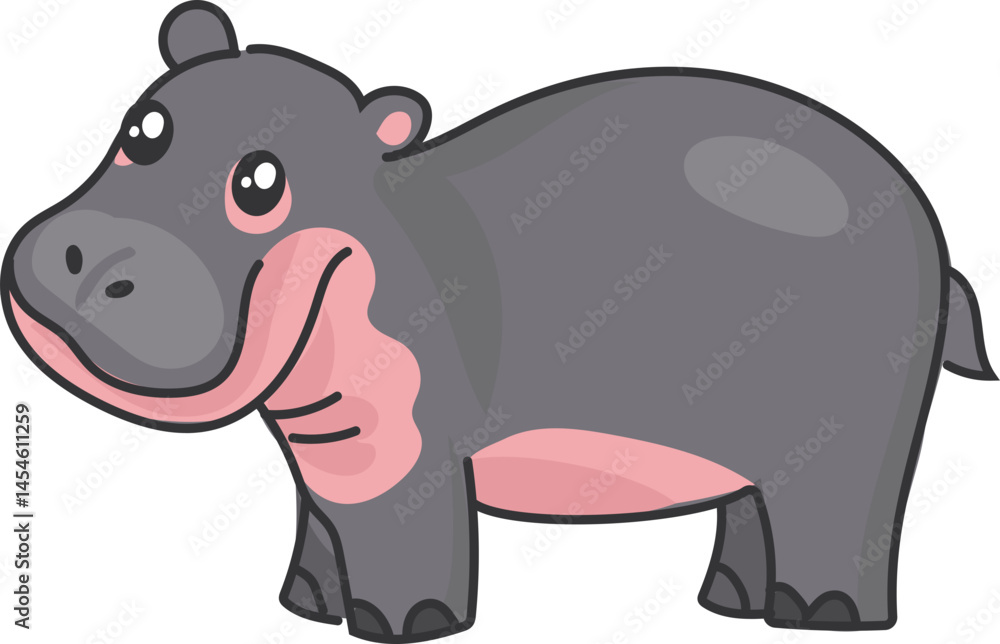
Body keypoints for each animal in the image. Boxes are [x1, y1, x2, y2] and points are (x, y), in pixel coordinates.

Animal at [3, 1, 996, 640]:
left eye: (259, 182)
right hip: (761, 442)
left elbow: (402, 538)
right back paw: (730, 606)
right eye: (144, 126)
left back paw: (822, 617)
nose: (94, 257)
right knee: (756, 510)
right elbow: (318, 526)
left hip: (852, 434)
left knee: (844, 520)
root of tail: (926, 218)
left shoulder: (403, 452)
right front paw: (306, 611)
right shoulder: (325, 449)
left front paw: (401, 627)